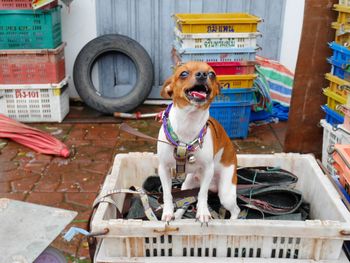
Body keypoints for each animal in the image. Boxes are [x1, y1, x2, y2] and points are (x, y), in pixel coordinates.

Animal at [157, 60, 239, 224]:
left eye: (212, 74)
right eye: (183, 73)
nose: (202, 74)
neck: (188, 122)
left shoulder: (208, 170)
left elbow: (202, 194)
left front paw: (203, 212)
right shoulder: (163, 168)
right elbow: (168, 194)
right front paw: (168, 211)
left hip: (226, 193)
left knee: (236, 210)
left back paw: (232, 222)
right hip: (186, 186)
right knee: (184, 202)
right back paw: (177, 214)